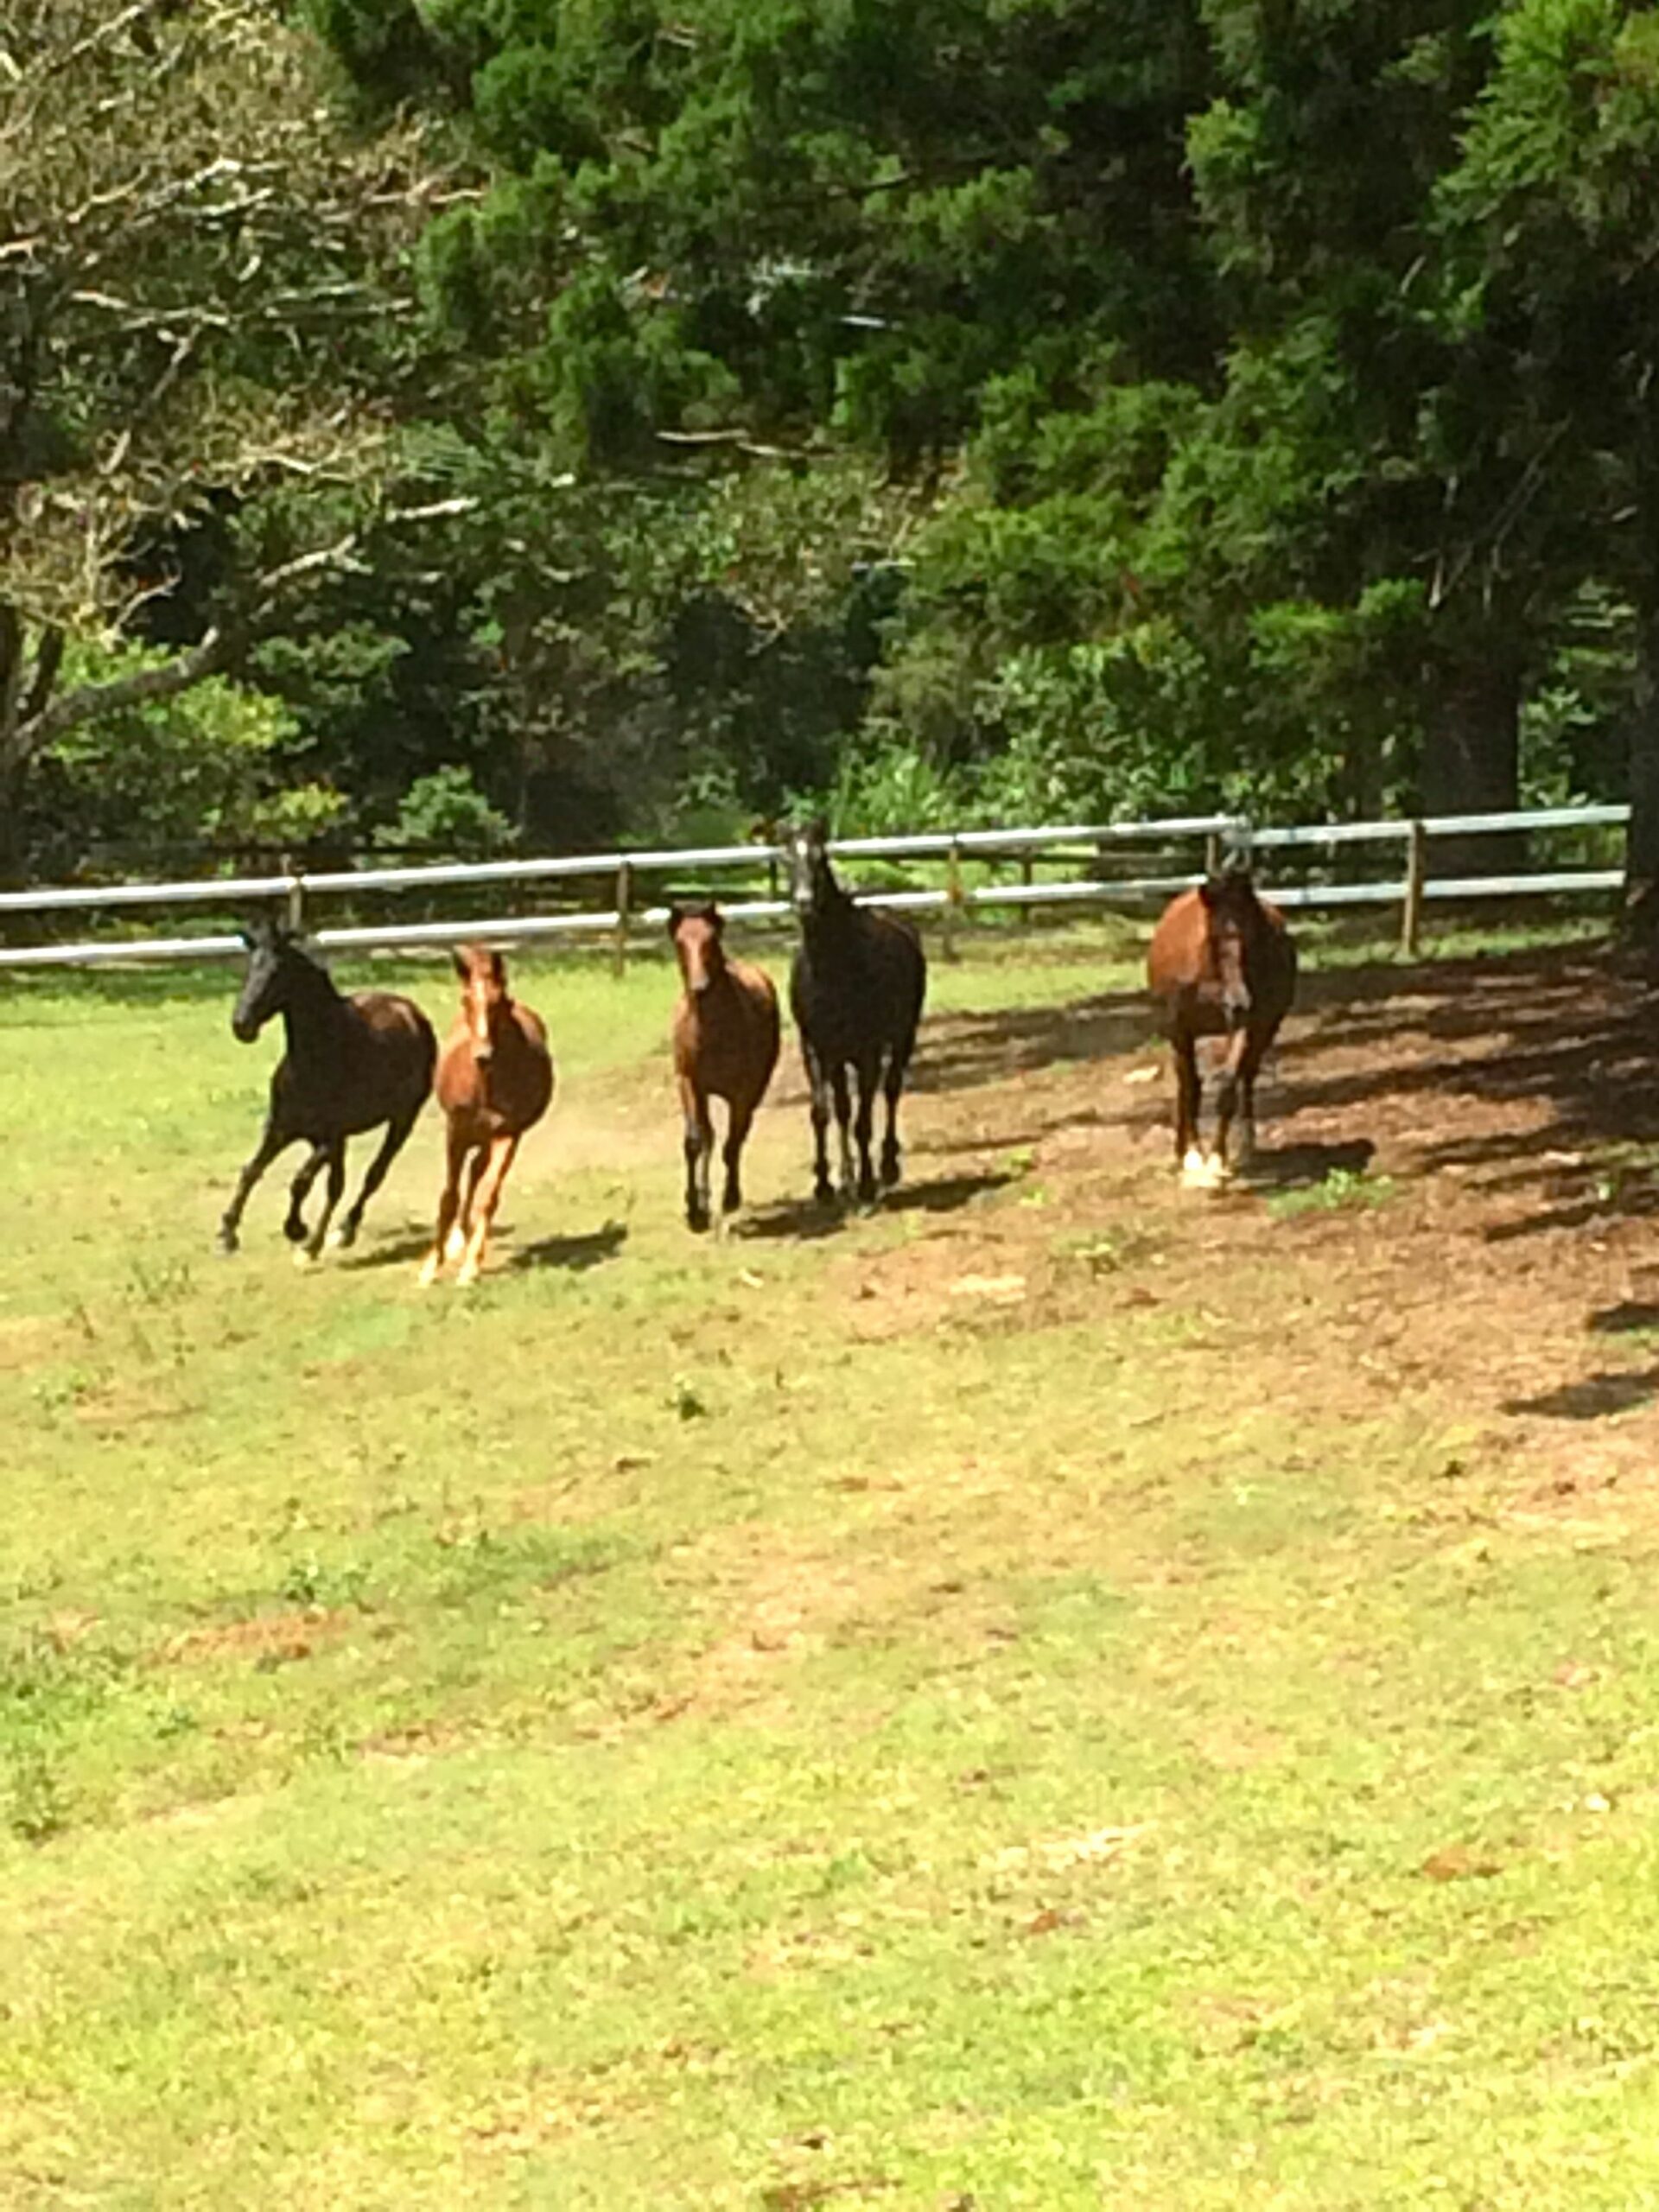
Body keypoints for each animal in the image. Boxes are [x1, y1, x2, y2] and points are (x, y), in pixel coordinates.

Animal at [222, 915, 442, 1265]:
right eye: (250, 967)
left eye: (276, 973)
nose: (241, 1024)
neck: (314, 1061)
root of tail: (412, 1012)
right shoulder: (281, 1128)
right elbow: (251, 1171)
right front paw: (227, 1235)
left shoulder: (330, 1137)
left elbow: (301, 1181)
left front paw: (297, 1230)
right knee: (337, 1185)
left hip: (402, 1120)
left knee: (372, 1175)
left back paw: (339, 1233)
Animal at [417, 942, 555, 1292]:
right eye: (466, 999)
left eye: (498, 1002)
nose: (483, 1055)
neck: (486, 1085)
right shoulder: (455, 1131)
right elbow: (448, 1198)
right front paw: (430, 1268)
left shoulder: (508, 1135)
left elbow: (488, 1198)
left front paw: (470, 1268)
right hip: (472, 1135)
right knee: (470, 1174)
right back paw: (454, 1242)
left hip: (489, 1138)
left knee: (478, 1172)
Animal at [668, 906, 787, 1238]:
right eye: (680, 942)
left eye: (710, 940)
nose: (699, 987)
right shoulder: (689, 1083)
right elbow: (695, 1141)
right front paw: (695, 1211)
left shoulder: (742, 1092)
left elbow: (732, 1143)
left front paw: (729, 1198)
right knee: (709, 1136)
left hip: (755, 1089)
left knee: (738, 1136)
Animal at [783, 814, 929, 1203]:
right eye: (786, 860)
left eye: (820, 857)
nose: (804, 902)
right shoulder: (818, 1049)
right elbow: (827, 1112)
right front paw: (828, 1182)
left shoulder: (868, 1050)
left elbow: (863, 1118)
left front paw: (864, 1183)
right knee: (848, 1108)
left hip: (903, 1037)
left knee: (891, 1091)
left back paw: (888, 1167)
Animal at [1159, 867, 1300, 1194]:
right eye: (1214, 936)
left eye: (1252, 937)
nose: (1239, 1003)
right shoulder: (1179, 1029)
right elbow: (1190, 1087)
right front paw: (1192, 1156)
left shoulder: (1244, 1028)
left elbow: (1226, 1090)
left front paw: (1215, 1161)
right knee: (1187, 1083)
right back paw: (1181, 1149)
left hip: (1265, 1029)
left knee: (1247, 1076)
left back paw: (1247, 1145)